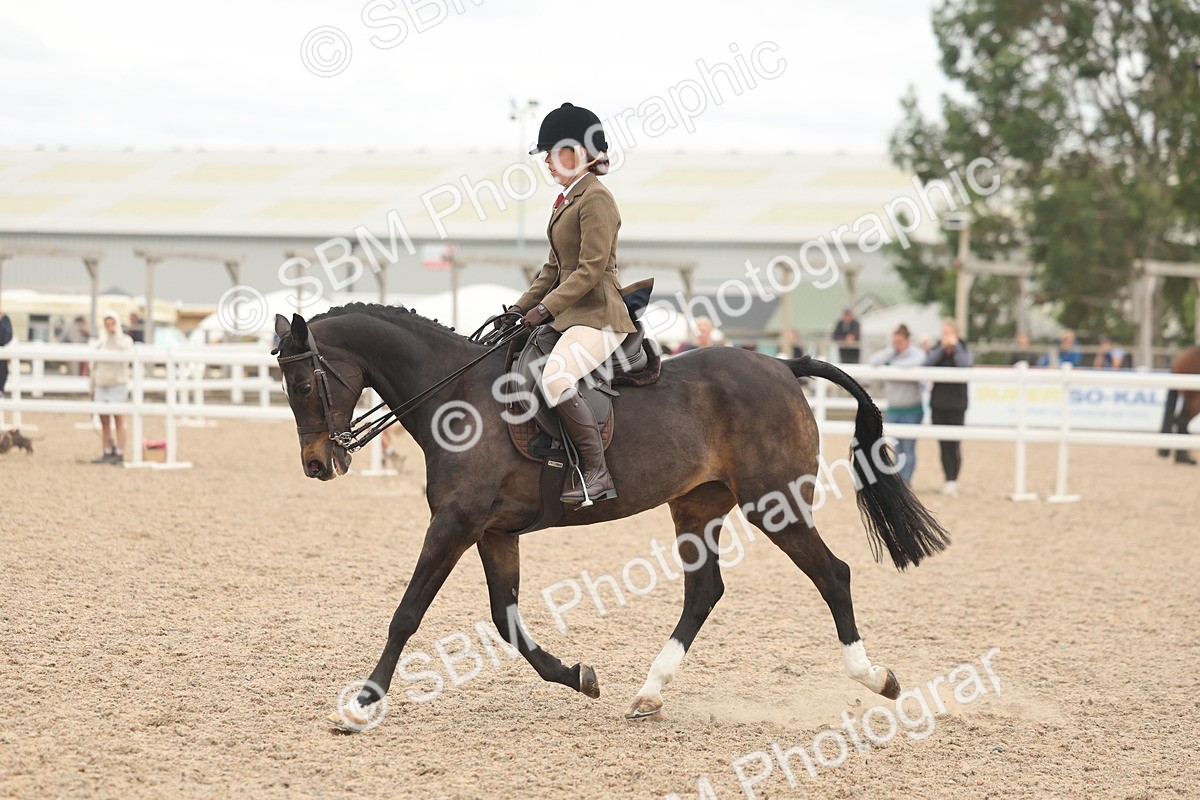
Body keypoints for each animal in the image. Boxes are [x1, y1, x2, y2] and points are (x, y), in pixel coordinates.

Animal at [271, 304, 950, 731]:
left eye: (303, 384)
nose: (316, 464)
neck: (454, 398)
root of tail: (783, 365)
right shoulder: (493, 532)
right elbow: (506, 622)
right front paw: (578, 675)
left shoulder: (455, 526)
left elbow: (407, 614)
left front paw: (361, 705)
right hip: (696, 506)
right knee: (704, 590)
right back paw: (648, 694)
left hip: (774, 503)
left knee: (833, 575)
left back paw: (876, 678)